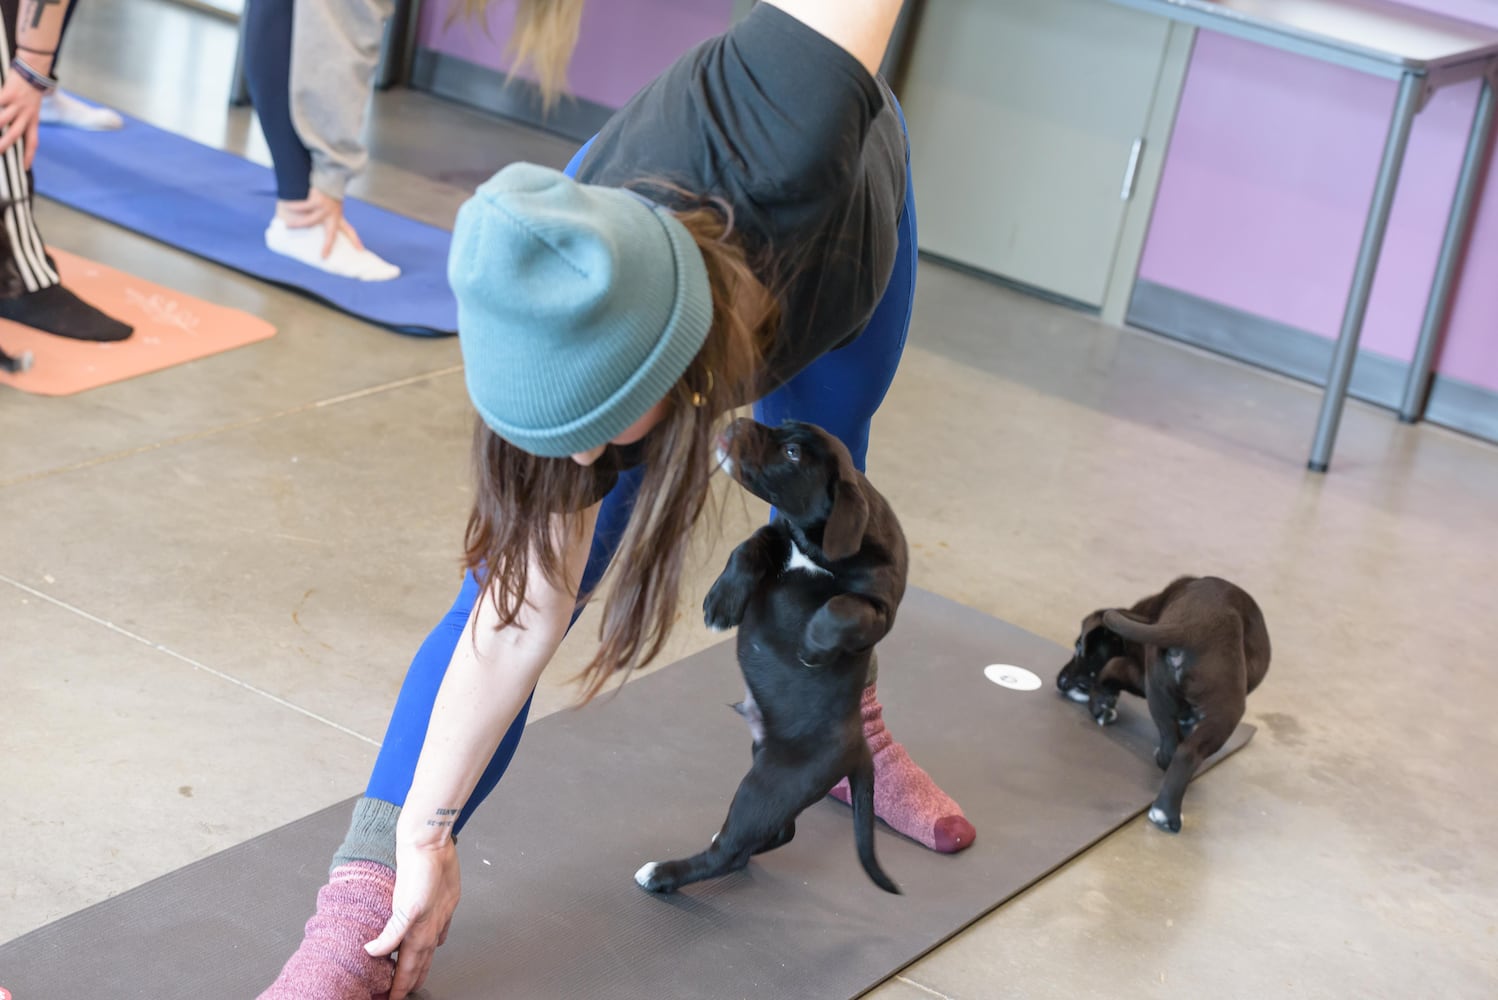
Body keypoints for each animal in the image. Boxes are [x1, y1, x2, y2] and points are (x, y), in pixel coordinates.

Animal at [632, 419, 898, 892]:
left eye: (792, 453)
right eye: (786, 426)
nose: (738, 422)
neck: (814, 540)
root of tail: (860, 749)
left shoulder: (883, 608)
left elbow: (844, 606)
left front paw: (813, 643)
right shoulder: (779, 535)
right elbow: (751, 543)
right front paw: (723, 601)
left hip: (767, 785)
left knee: (728, 853)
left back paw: (663, 874)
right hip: (765, 772)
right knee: (772, 834)